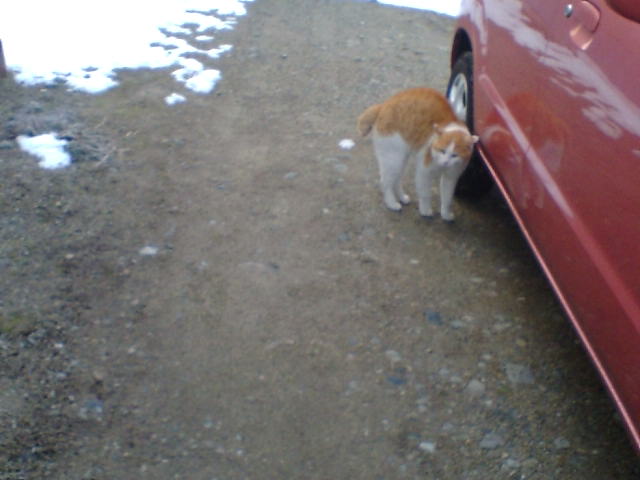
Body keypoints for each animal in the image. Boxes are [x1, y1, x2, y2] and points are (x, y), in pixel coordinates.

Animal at [357, 87, 479, 221]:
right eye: (442, 151)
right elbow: (425, 194)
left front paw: (446, 214)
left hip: (400, 160)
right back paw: (392, 203)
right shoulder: (424, 172)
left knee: (396, 179)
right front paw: (425, 210)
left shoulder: (451, 177)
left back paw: (401, 197)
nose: (445, 162)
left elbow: (447, 198)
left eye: (454, 155)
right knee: (385, 182)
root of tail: (383, 105)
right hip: (393, 159)